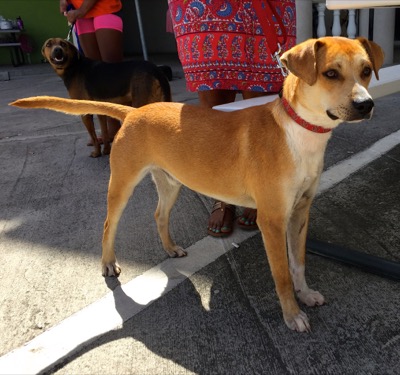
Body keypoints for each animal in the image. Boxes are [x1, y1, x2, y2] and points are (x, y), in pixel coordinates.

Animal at [42, 37, 170, 157]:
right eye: (49, 44)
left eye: (63, 44)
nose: (58, 50)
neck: (74, 66)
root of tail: (156, 70)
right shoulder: (100, 110)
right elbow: (104, 132)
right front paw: (106, 150)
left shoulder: (85, 113)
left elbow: (93, 136)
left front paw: (96, 153)